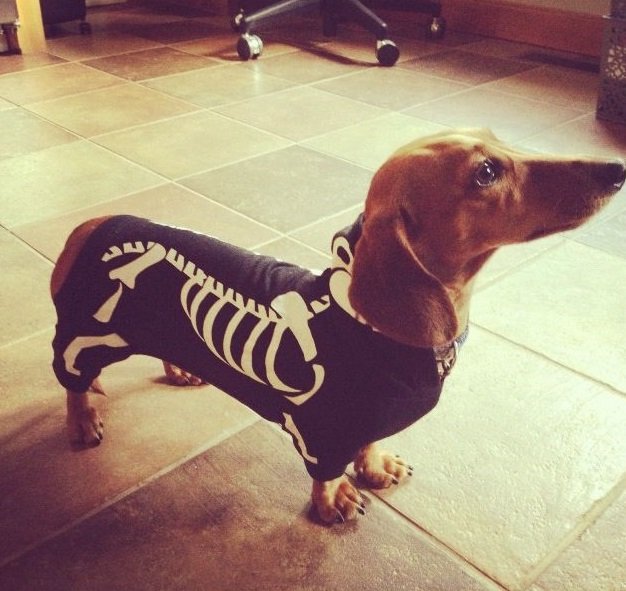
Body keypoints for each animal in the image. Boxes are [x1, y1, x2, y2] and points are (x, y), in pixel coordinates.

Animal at [51, 128, 620, 524]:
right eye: (485, 173)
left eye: (500, 140)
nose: (615, 168)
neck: (369, 327)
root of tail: (92, 225)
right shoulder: (320, 431)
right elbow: (326, 472)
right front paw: (335, 500)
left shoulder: (366, 422)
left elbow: (367, 445)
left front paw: (374, 469)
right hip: (87, 335)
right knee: (74, 379)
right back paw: (82, 420)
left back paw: (180, 370)